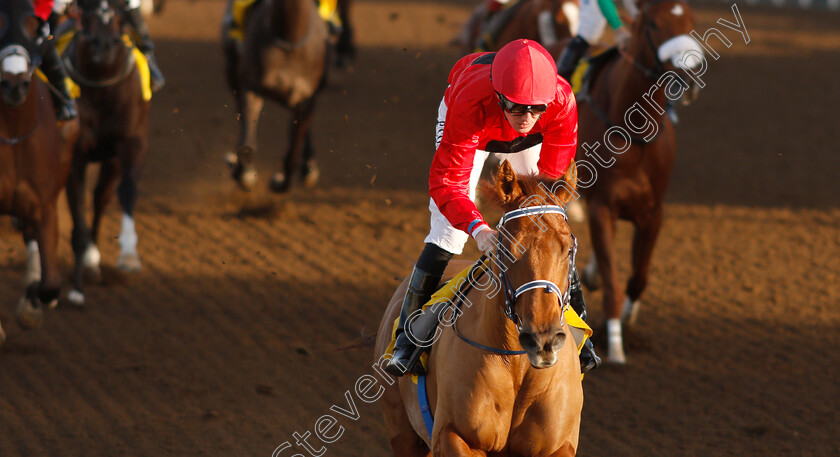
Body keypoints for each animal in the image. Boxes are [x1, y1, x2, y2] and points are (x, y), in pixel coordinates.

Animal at [62, 0, 151, 306]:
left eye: (121, 6)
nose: (104, 44)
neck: (102, 89)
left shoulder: (130, 144)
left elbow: (126, 191)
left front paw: (129, 254)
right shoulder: (74, 156)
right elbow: (77, 211)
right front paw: (76, 289)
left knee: (101, 198)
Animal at [221, 0, 330, 192]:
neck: (289, 39)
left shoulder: (306, 98)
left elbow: (293, 150)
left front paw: (280, 180)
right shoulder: (251, 86)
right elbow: (248, 142)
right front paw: (245, 172)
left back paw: (309, 166)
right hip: (231, 65)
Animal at [378, 160, 584, 456]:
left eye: (567, 249)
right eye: (506, 249)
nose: (542, 339)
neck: (517, 365)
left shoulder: (559, 446)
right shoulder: (453, 435)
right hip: (402, 432)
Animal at [556, 0, 704, 364]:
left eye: (691, 20)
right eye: (652, 24)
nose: (690, 78)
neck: (635, 133)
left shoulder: (653, 212)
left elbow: (638, 278)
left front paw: (628, 316)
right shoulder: (602, 209)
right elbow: (612, 282)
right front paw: (616, 345)